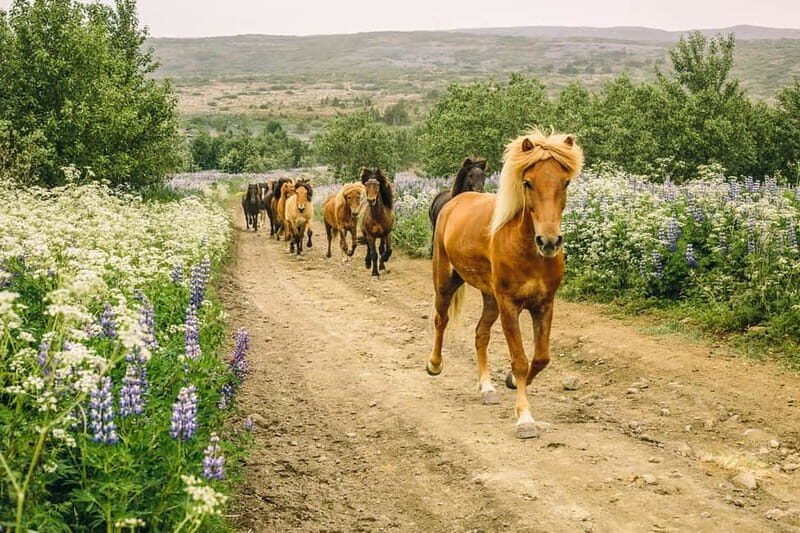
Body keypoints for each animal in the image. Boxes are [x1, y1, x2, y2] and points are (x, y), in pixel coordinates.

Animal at [425, 129, 583, 440]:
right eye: (528, 182)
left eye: (566, 182)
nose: (549, 241)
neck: (527, 250)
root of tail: (456, 201)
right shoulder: (510, 305)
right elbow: (520, 360)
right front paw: (525, 419)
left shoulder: (544, 305)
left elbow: (541, 358)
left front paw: (509, 382)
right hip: (446, 281)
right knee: (441, 319)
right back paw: (434, 365)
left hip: (490, 299)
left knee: (480, 334)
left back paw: (487, 388)